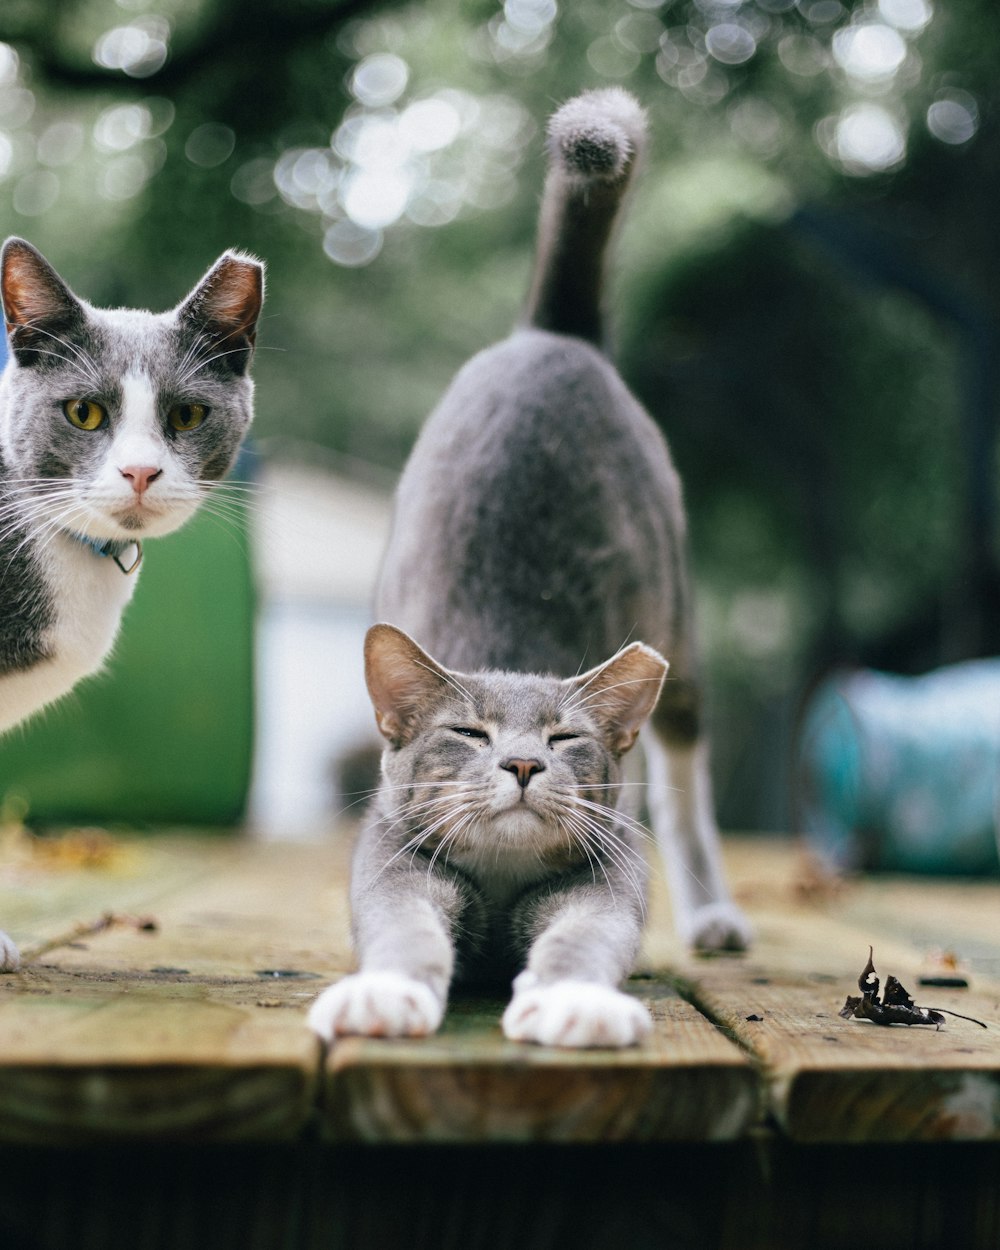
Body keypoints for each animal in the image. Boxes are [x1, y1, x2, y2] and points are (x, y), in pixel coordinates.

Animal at [310, 83, 750, 1050]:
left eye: (564, 739)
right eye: (470, 734)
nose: (519, 767)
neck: (504, 880)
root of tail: (555, 335)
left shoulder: (607, 876)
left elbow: (586, 939)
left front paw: (577, 1002)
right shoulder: (394, 865)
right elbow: (402, 931)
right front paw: (382, 993)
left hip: (682, 634)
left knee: (687, 784)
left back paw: (713, 914)